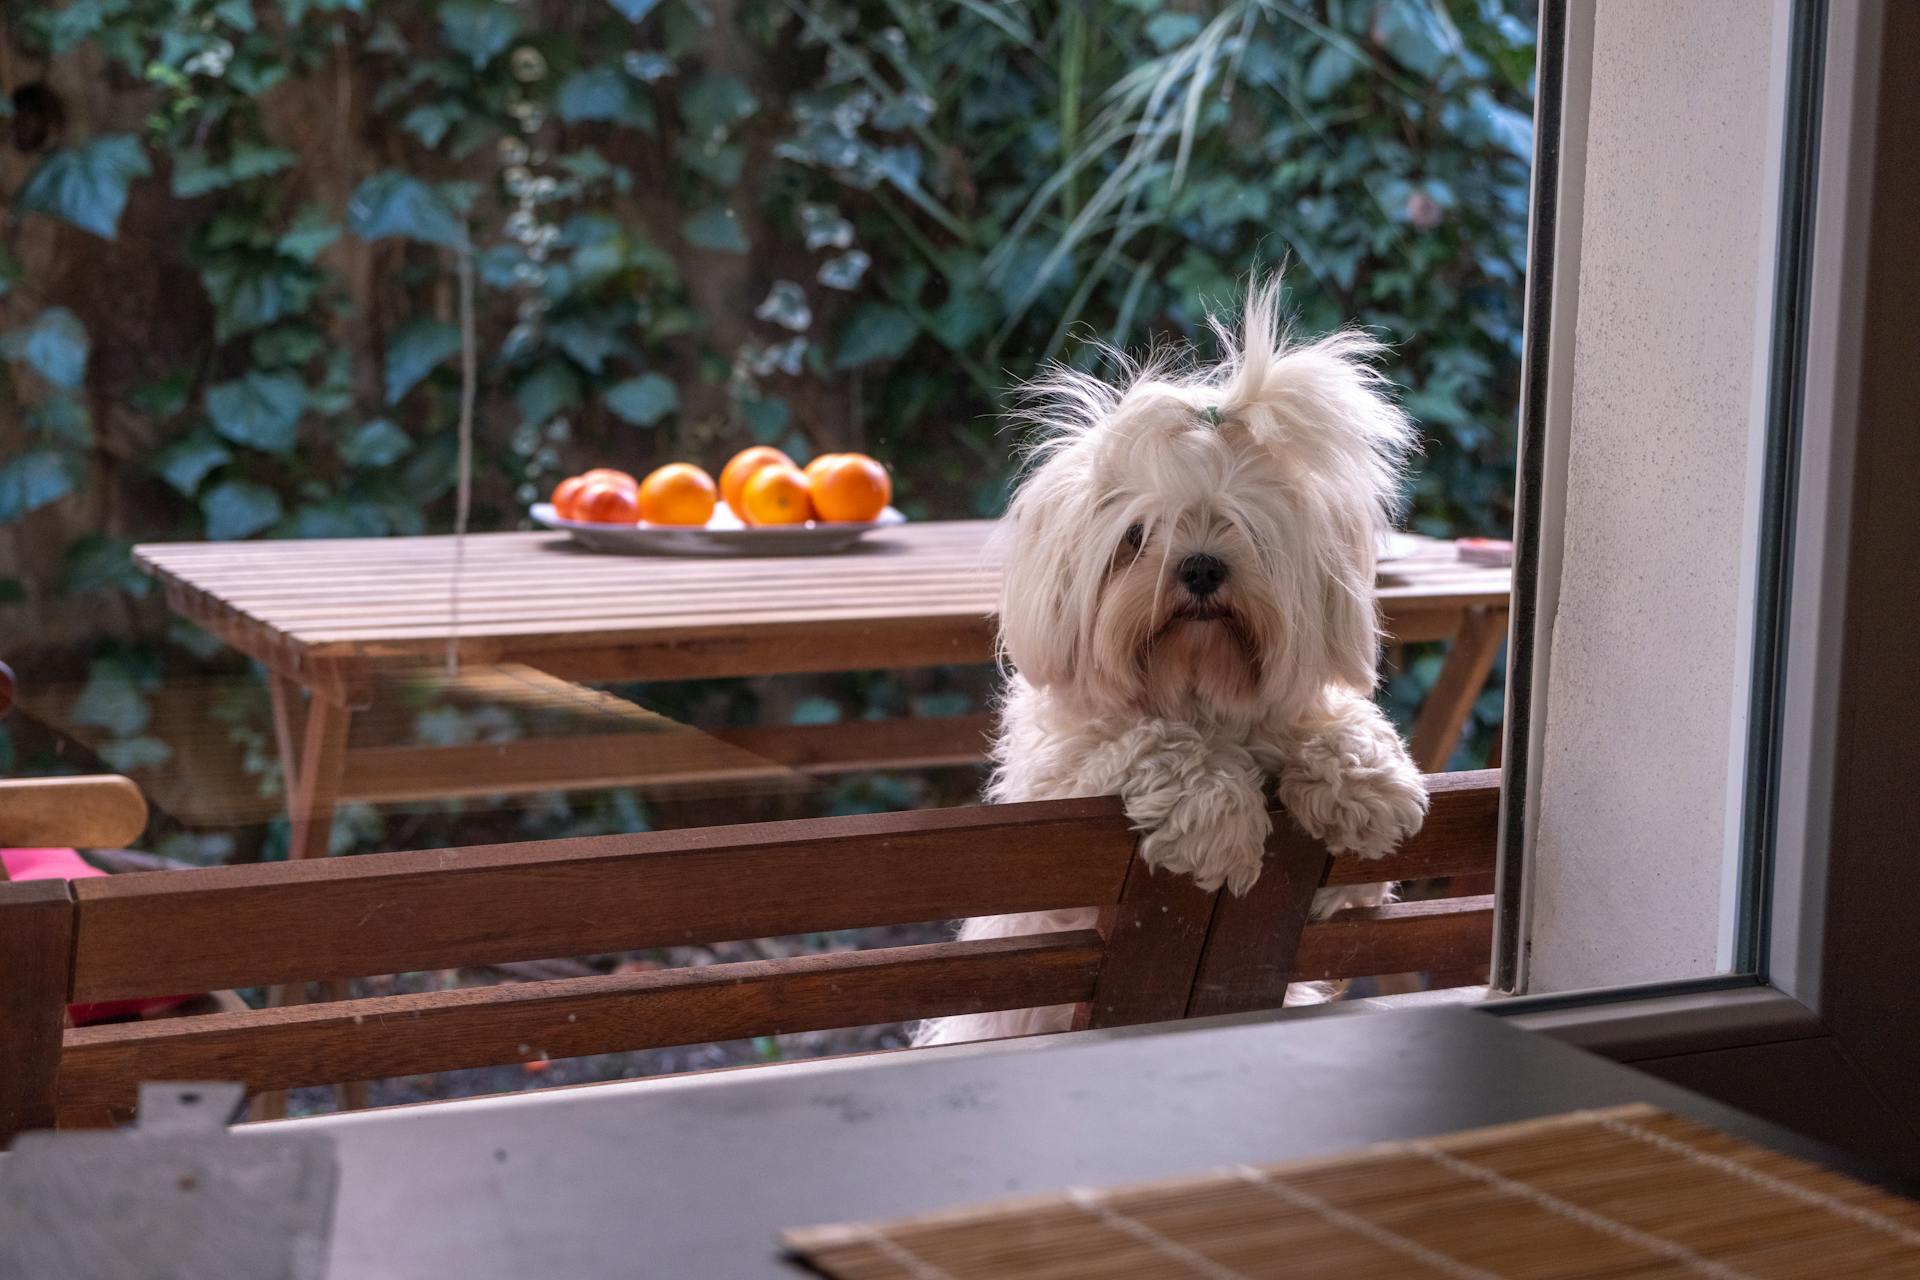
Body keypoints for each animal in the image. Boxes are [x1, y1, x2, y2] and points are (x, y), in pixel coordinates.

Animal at [921, 278, 1436, 1043]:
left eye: (1247, 528)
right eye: (1136, 535)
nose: (1199, 567)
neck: (1197, 688)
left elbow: (1340, 741)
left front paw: (1366, 789)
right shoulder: (1064, 782)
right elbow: (1149, 740)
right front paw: (1223, 827)